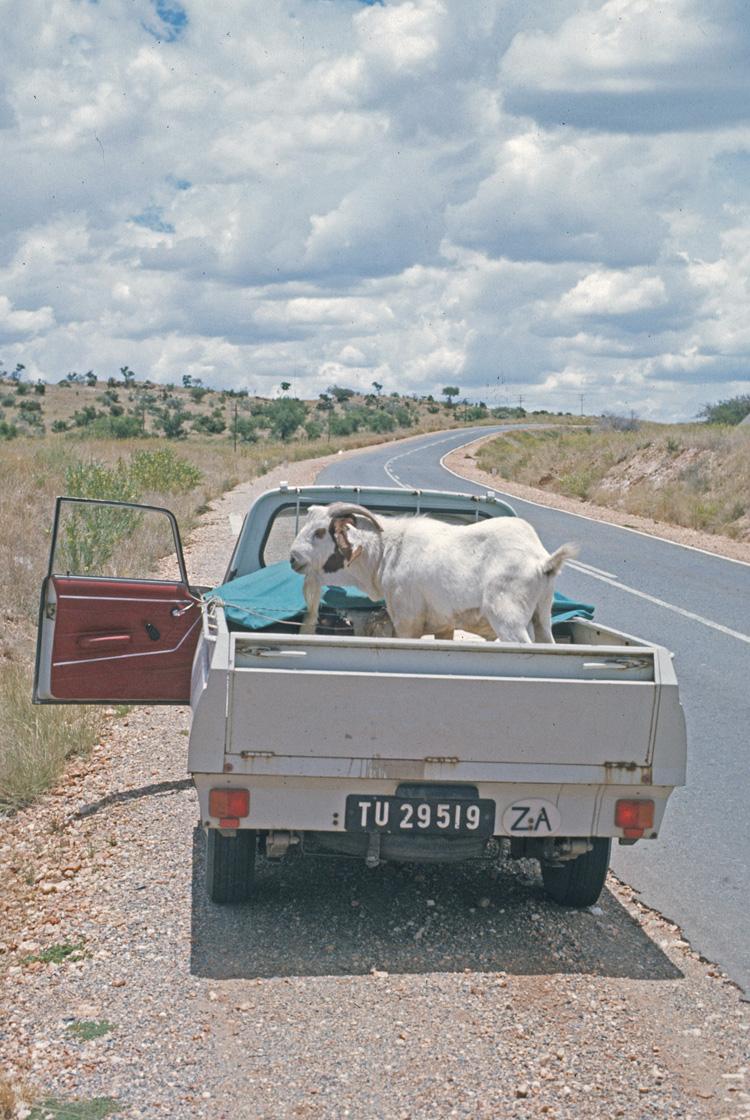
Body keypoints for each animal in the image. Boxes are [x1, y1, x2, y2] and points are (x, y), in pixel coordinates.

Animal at [291, 504, 577, 645]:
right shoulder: (444, 625)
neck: (387, 550)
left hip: (509, 619)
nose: (293, 558)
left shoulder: (407, 622)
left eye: (320, 532)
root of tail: (542, 561)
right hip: (542, 614)